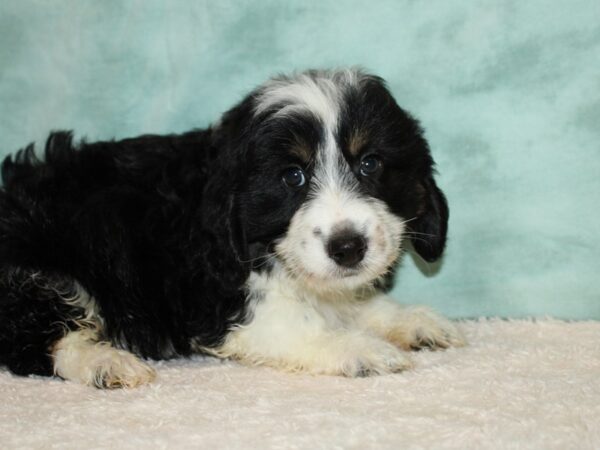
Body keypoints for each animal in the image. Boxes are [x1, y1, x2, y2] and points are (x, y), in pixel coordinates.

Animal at [0, 69, 464, 386]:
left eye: (370, 163)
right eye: (292, 176)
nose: (347, 247)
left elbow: (349, 302)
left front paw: (412, 321)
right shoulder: (216, 299)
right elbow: (294, 323)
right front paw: (360, 348)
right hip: (38, 269)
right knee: (37, 340)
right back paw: (106, 362)